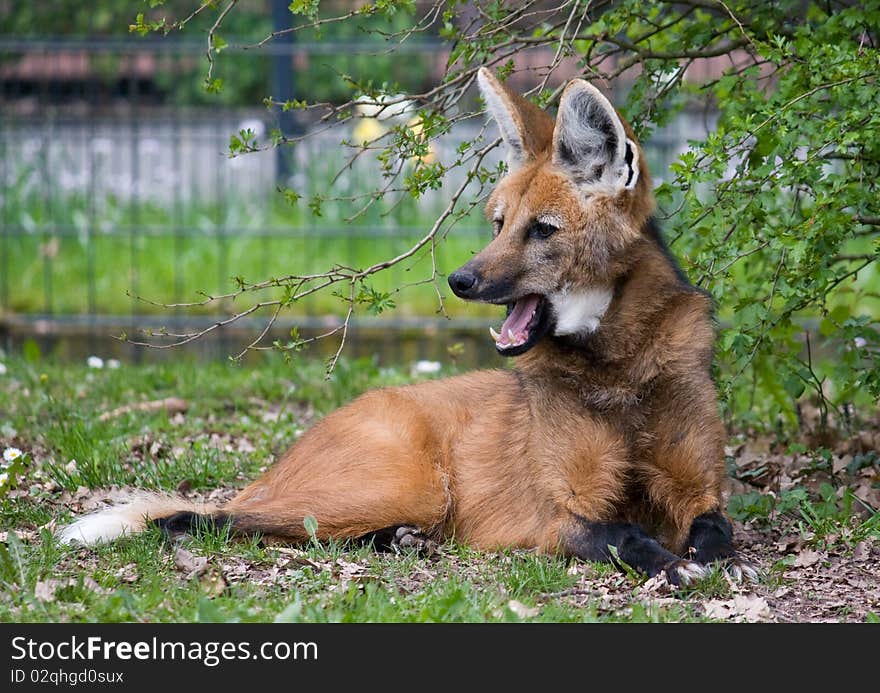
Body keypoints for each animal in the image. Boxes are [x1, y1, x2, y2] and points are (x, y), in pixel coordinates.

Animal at [56, 69, 756, 584]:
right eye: (498, 224)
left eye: (542, 230)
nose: (461, 280)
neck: (617, 365)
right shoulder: (558, 514)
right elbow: (617, 534)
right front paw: (673, 566)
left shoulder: (700, 487)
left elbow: (716, 531)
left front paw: (705, 561)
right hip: (407, 484)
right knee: (216, 519)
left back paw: (399, 542)